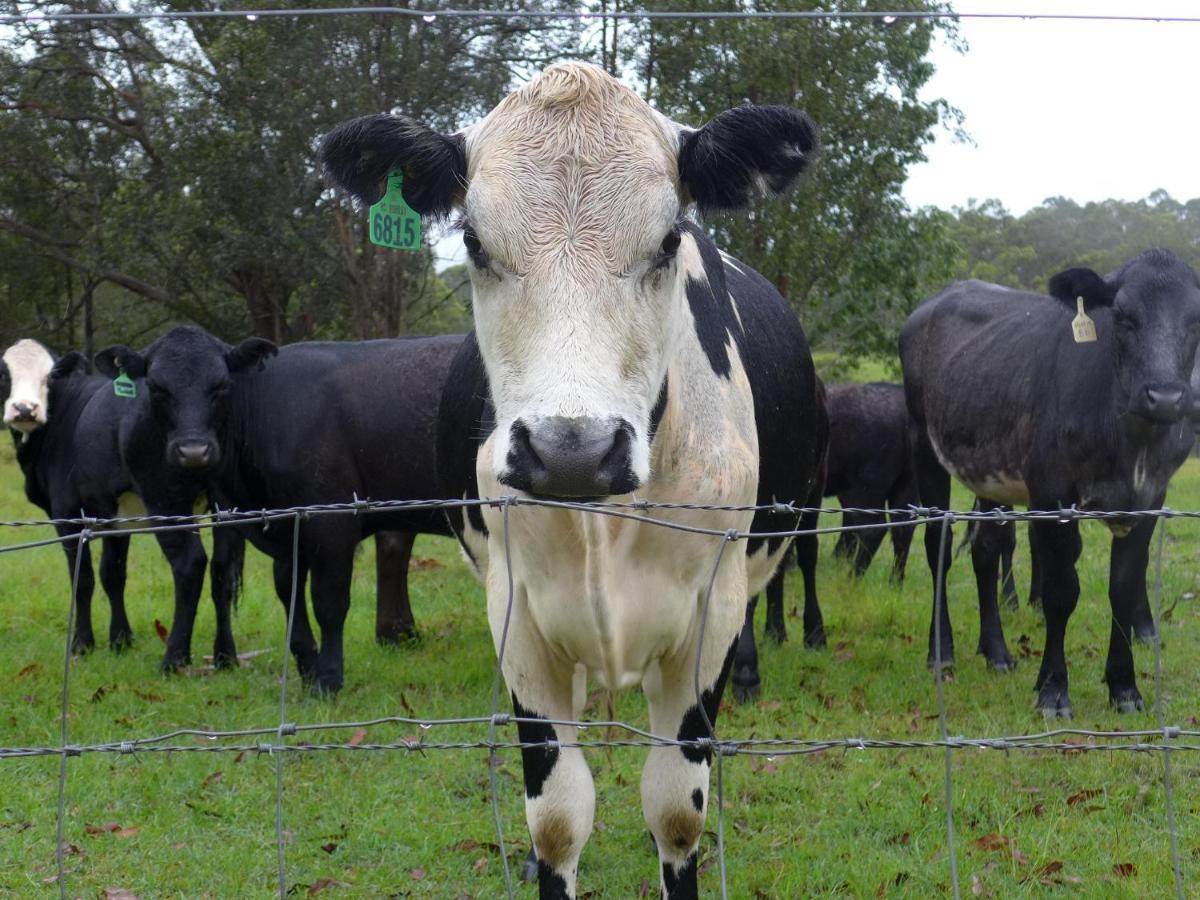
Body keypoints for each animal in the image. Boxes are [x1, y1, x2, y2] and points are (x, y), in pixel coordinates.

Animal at [319, 60, 825, 897]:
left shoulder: (711, 617)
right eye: (473, 240)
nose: (571, 451)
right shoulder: (517, 616)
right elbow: (558, 817)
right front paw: (541, 857)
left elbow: (675, 810)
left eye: (668, 238)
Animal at [902, 250, 1200, 724]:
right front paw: (1053, 691)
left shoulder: (1150, 498)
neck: (1130, 444)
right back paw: (941, 651)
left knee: (986, 551)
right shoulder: (1051, 493)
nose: (1167, 397)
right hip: (923, 443)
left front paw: (1125, 688)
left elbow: (1123, 588)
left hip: (990, 472)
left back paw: (997, 652)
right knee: (938, 547)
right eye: (1122, 315)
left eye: (1196, 319)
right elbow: (1062, 592)